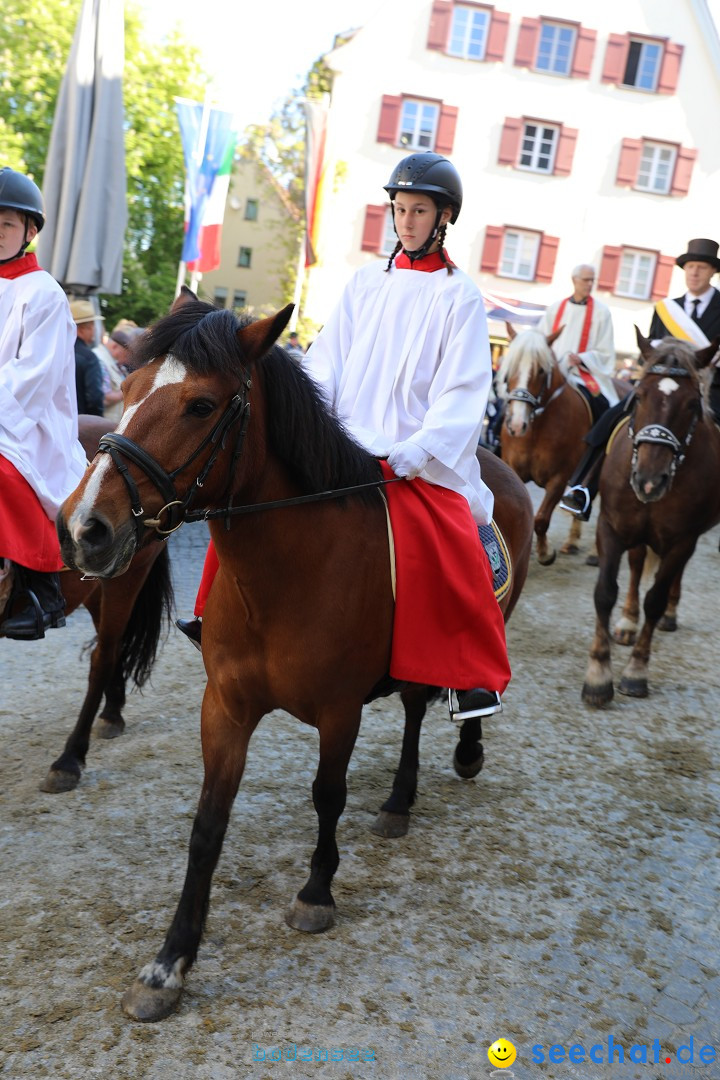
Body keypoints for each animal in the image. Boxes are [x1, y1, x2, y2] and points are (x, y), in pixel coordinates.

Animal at [56, 295, 533, 1019]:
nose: (84, 528)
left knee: (441, 696)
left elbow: (327, 795)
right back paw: (400, 800)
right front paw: (170, 963)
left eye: (200, 405)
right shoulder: (225, 707)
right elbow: (208, 824)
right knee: (417, 705)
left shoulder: (339, 710)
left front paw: (316, 892)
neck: (288, 574)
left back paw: (458, 754)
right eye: (128, 389)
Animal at [500, 326, 630, 565]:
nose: (516, 424)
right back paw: (572, 541)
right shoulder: (513, 470)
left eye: (541, 370)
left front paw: (544, 552)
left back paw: (594, 552)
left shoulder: (559, 478)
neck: (537, 428)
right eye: (509, 368)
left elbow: (541, 519)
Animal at [582, 330, 720, 708]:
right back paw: (627, 623)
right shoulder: (611, 528)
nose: (648, 481)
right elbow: (605, 592)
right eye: (640, 396)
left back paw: (668, 615)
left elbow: (655, 599)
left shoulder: (682, 541)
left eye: (691, 405)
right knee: (635, 566)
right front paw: (598, 674)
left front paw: (635, 671)